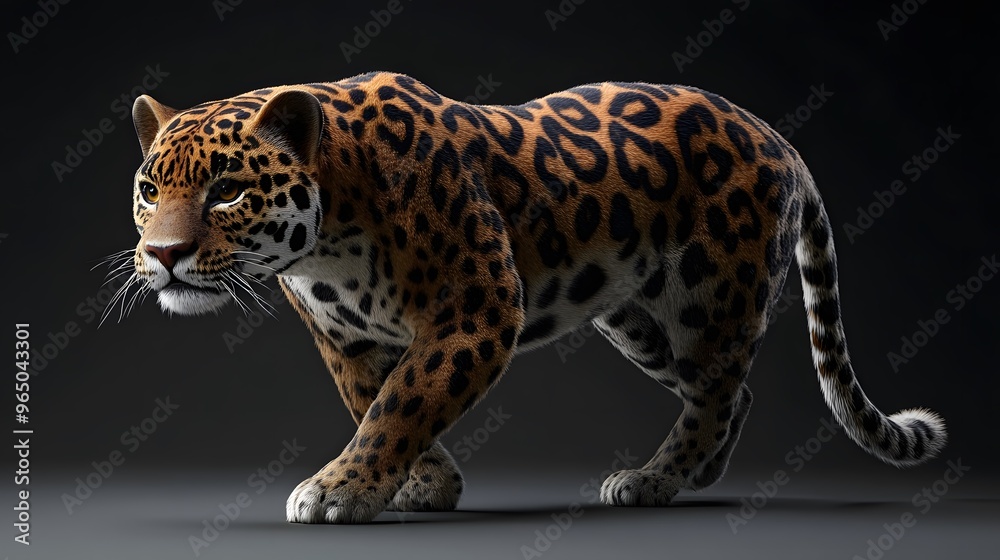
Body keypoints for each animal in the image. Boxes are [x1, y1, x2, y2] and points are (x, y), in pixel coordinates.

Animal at [113, 70, 947, 523]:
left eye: (227, 191)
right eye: (150, 189)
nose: (163, 255)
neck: (329, 241)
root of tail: (781, 140)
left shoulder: (479, 310)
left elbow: (403, 401)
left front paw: (340, 490)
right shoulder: (343, 337)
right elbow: (374, 399)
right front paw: (424, 483)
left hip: (709, 300)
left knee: (717, 392)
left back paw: (652, 480)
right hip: (640, 323)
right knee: (731, 393)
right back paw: (692, 477)